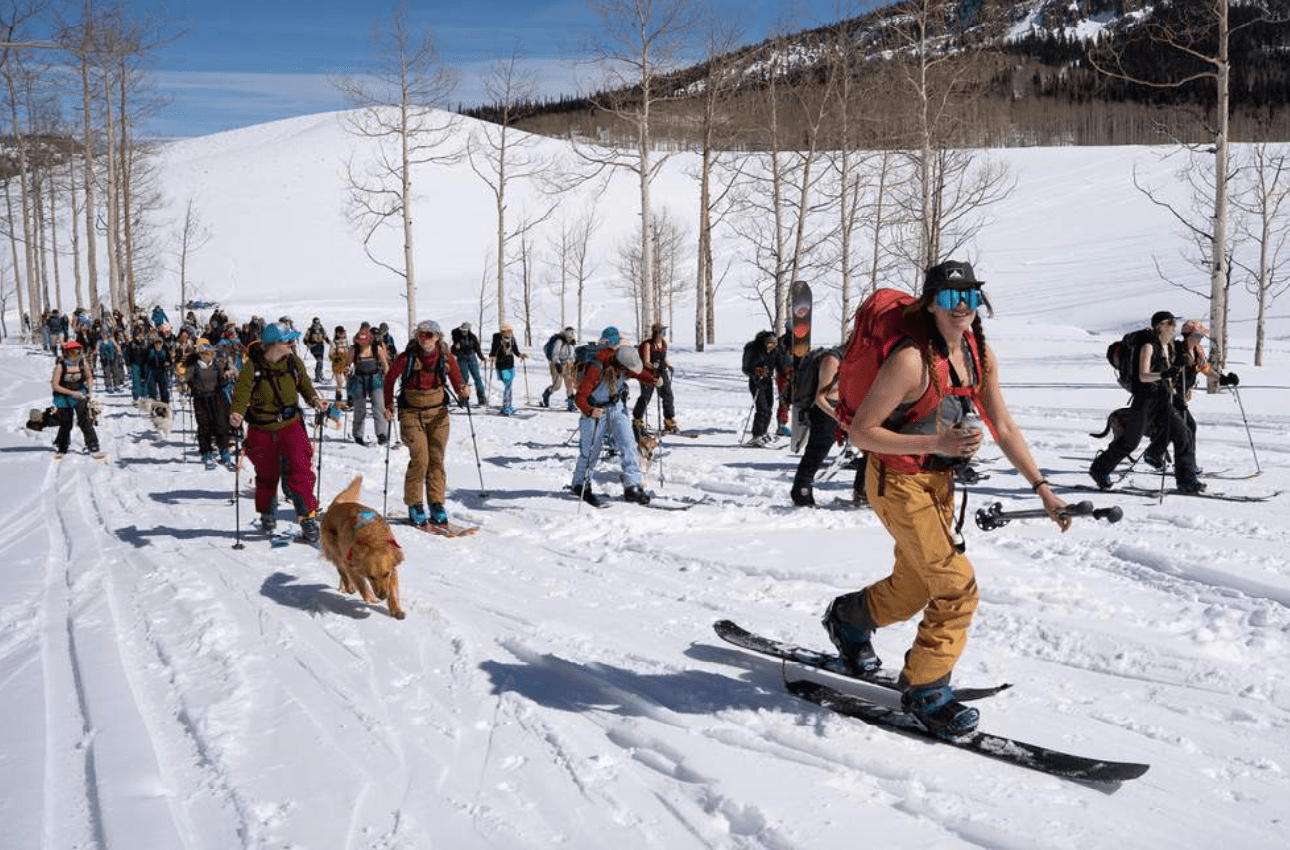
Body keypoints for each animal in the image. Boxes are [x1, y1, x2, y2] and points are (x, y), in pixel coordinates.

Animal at [319, 474, 405, 621]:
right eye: (371, 577)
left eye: (386, 574)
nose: (382, 596)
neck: (372, 538)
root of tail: (336, 505)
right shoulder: (351, 562)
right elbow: (361, 584)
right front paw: (370, 598)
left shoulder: (392, 567)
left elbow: (393, 590)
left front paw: (396, 610)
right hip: (335, 548)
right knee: (341, 569)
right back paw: (349, 587)